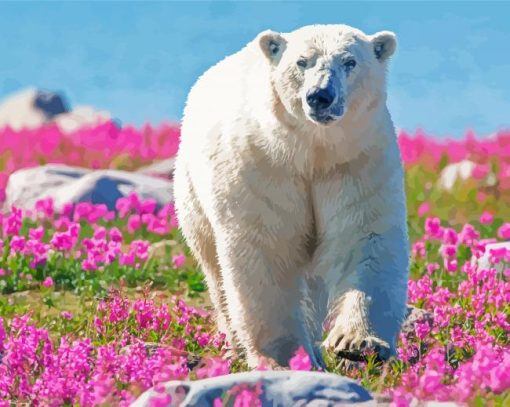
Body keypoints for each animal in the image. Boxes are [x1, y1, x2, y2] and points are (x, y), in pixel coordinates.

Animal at [174, 24, 410, 370]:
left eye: (350, 61)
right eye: (302, 61)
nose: (320, 96)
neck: (311, 151)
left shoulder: (357, 162)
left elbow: (365, 237)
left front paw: (358, 342)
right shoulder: (263, 167)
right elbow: (267, 250)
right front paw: (284, 357)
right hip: (192, 195)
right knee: (215, 271)